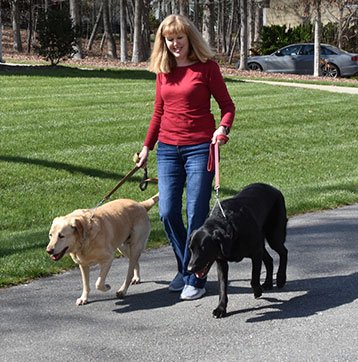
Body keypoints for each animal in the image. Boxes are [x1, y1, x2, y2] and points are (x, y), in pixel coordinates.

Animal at [187, 184, 288, 316]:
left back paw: (281, 278)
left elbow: (254, 278)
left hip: (273, 236)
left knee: (283, 252)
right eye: (190, 249)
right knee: (269, 259)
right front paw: (221, 308)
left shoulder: (255, 253)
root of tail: (274, 189)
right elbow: (222, 287)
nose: (189, 269)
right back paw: (267, 283)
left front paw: (257, 291)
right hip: (261, 242)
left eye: (203, 249)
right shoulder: (221, 262)